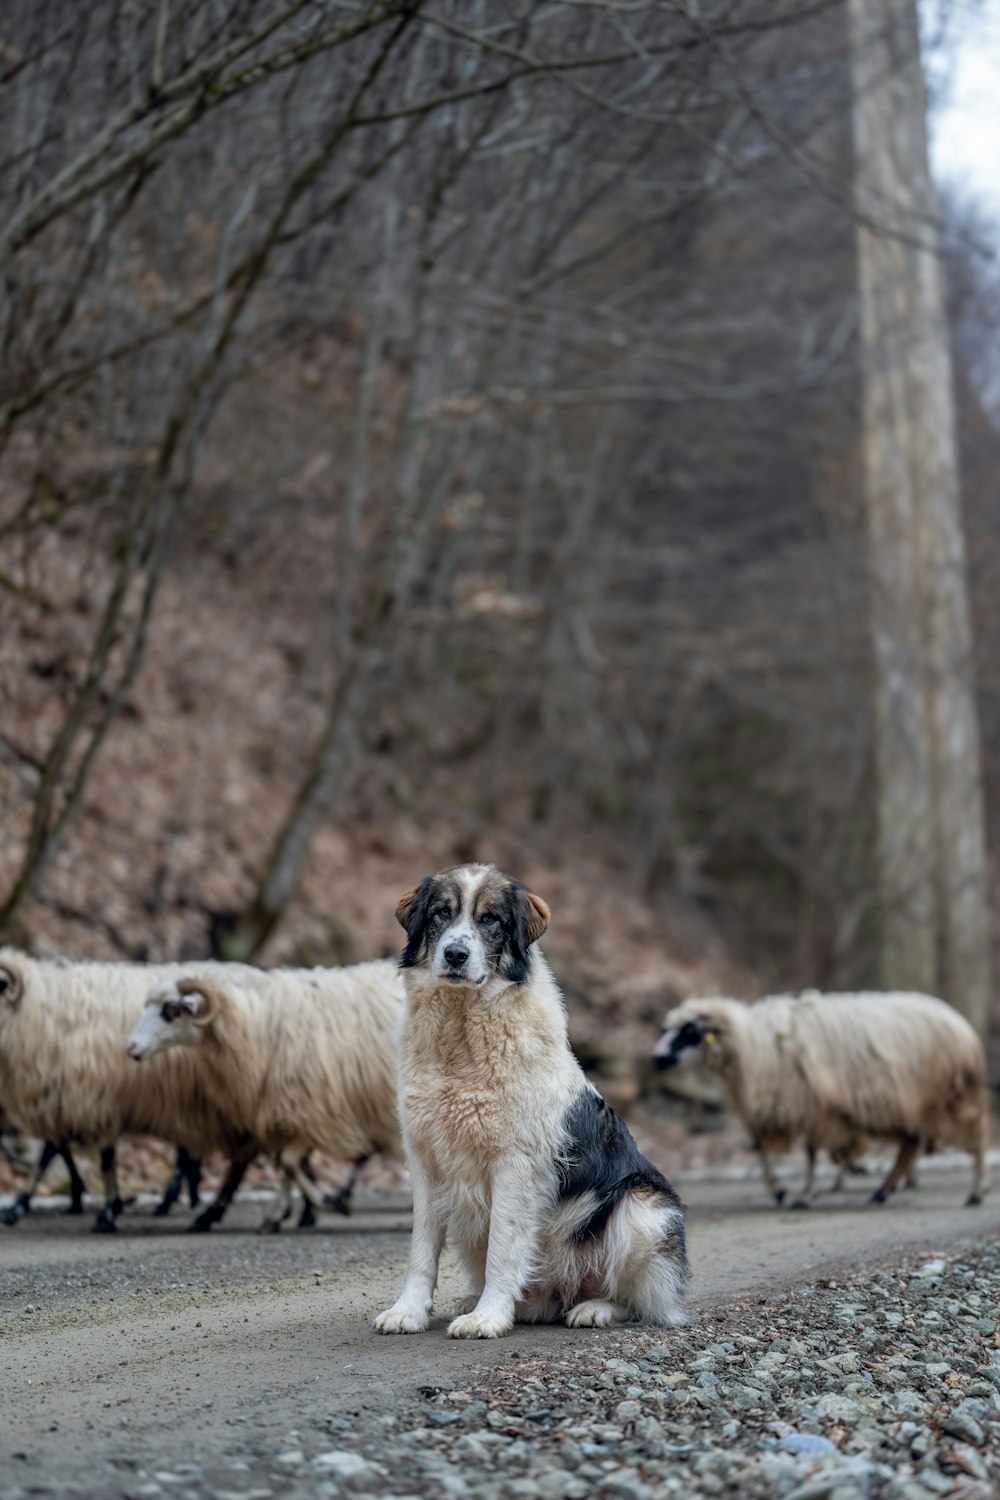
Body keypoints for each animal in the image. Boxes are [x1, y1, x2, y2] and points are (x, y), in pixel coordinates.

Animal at [125, 960, 401, 1230]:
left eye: (171, 1010)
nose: (130, 1047)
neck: (254, 1023)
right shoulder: (287, 1113)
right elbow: (289, 1164)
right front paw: (279, 1216)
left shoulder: (317, 1113)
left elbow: (289, 1161)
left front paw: (328, 1202)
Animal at [374, 864, 689, 1344]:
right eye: (441, 913)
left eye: (490, 919)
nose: (455, 955)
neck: (460, 1032)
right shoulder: (425, 1160)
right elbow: (421, 1250)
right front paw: (408, 1311)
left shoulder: (516, 1165)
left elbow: (503, 1249)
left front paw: (487, 1318)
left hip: (643, 1208)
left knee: (638, 1299)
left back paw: (593, 1308)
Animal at [653, 990, 989, 1212]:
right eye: (667, 1028)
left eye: (689, 1031)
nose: (656, 1058)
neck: (754, 1045)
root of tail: (961, 1023)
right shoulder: (783, 1108)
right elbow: (762, 1151)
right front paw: (779, 1191)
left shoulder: (814, 1107)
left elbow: (812, 1154)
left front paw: (802, 1195)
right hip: (909, 1105)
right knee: (909, 1144)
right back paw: (883, 1191)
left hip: (957, 1096)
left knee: (976, 1142)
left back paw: (976, 1192)